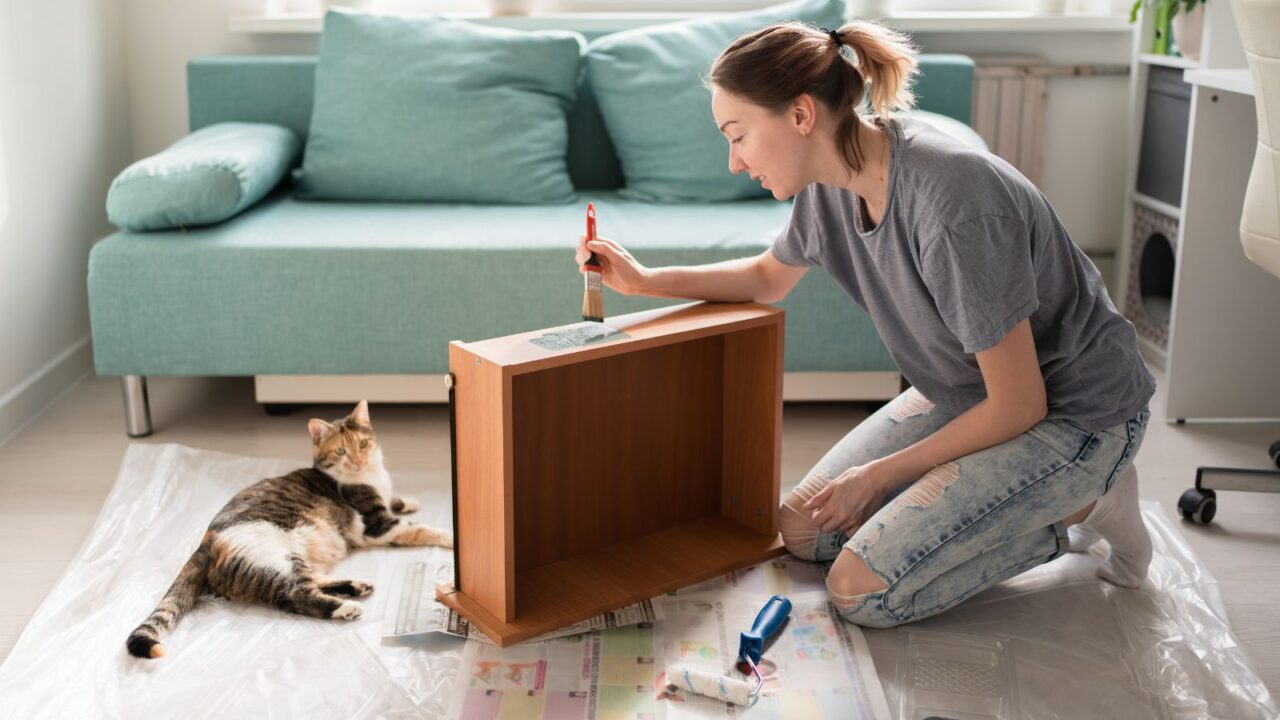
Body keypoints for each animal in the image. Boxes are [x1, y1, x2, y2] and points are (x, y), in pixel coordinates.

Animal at [124, 397, 453, 655]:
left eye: (363, 443)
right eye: (340, 452)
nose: (359, 460)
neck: (371, 475)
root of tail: (206, 542)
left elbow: (397, 502)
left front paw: (409, 501)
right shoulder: (379, 524)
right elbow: (420, 529)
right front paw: (449, 536)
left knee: (307, 584)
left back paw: (356, 586)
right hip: (276, 556)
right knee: (296, 596)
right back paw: (346, 607)